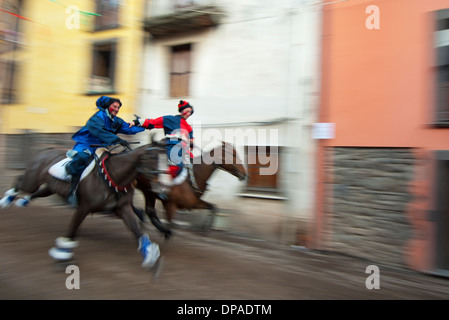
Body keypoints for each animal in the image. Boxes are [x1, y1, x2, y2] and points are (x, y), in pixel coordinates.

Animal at [0, 144, 164, 268]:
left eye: (164, 160)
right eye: (151, 159)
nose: (160, 188)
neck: (113, 176)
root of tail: (45, 151)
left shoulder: (122, 207)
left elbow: (136, 230)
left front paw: (149, 254)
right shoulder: (84, 207)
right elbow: (72, 229)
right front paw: (62, 254)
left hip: (51, 187)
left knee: (38, 192)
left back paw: (23, 201)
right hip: (32, 180)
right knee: (20, 180)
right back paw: (7, 199)